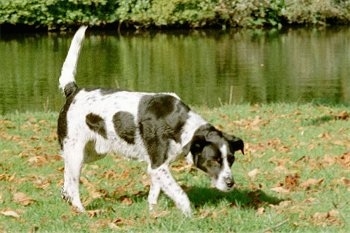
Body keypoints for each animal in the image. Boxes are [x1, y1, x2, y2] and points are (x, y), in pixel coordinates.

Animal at [57, 26, 243, 218]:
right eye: (213, 160)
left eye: (231, 159)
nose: (231, 183)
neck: (180, 125)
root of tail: (73, 91)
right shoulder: (158, 166)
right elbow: (180, 194)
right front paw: (189, 216)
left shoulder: (156, 167)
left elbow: (154, 193)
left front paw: (154, 214)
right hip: (77, 152)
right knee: (73, 185)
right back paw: (80, 209)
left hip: (90, 153)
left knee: (66, 174)